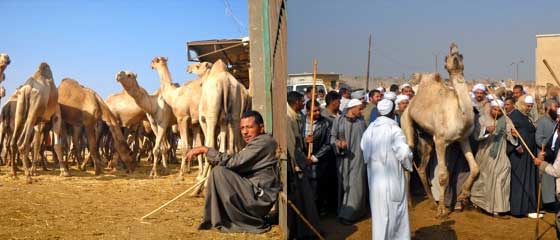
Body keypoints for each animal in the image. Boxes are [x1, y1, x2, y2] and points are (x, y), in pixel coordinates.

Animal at [400, 43, 480, 218]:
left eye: (461, 55)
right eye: (446, 58)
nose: (454, 50)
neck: (459, 115)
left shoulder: (463, 138)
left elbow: (475, 168)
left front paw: (463, 195)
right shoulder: (441, 140)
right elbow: (443, 175)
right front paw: (442, 210)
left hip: (427, 138)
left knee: (421, 168)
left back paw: (431, 202)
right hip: (406, 122)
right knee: (408, 160)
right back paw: (409, 204)